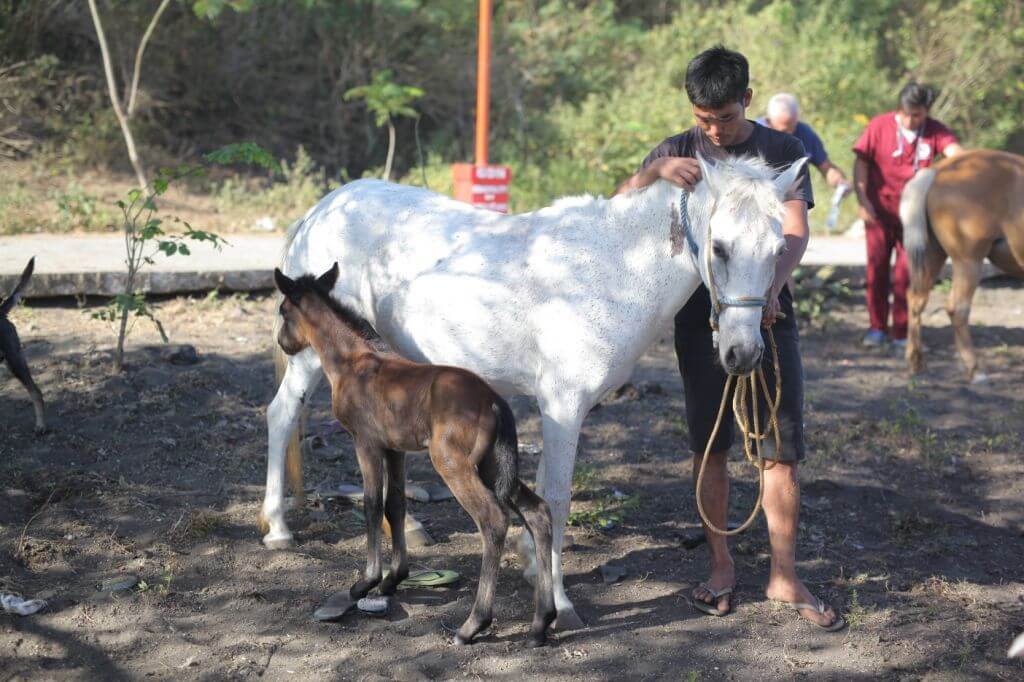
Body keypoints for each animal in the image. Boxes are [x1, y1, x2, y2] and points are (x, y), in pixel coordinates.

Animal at [272, 262, 557, 647]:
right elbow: (396, 504)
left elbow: (372, 504)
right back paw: (541, 622)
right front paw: (394, 578)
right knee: (538, 512)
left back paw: (473, 624)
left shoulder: (366, 442)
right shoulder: (396, 449)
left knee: (493, 519)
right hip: (494, 466)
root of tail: (494, 402)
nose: (283, 343)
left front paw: (366, 582)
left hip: (453, 464)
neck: (354, 362)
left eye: (283, 311)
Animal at [901, 148, 1019, 378]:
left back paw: (915, 361)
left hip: (933, 254)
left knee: (916, 299)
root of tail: (937, 171)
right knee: (958, 309)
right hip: (968, 261)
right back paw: (975, 369)